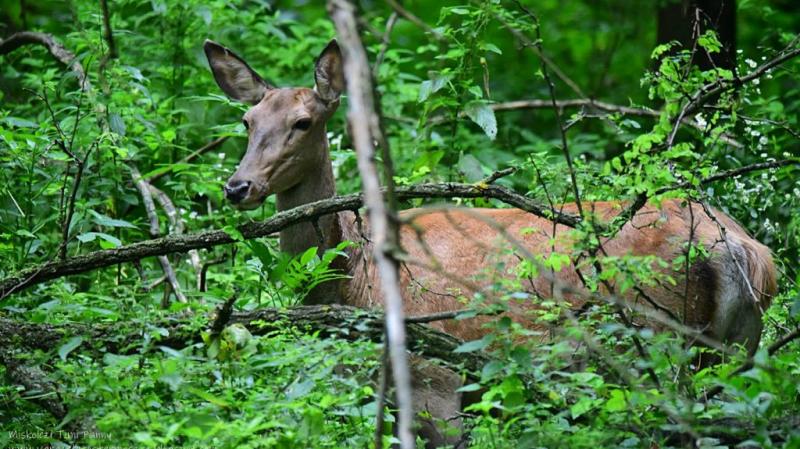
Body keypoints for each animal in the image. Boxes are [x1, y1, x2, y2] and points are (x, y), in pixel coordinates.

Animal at [203, 37, 780, 444]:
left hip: (654, 340)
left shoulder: (438, 377)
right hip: (734, 351)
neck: (352, 282)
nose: (238, 186)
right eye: (247, 120)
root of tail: (742, 248)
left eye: (303, 122)